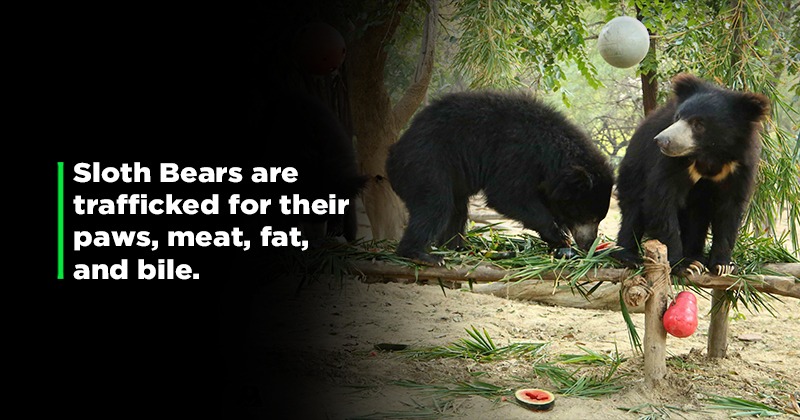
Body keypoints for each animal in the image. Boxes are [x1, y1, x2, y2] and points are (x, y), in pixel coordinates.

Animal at [385, 90, 615, 266]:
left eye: (599, 218)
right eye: (590, 217)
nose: (589, 243)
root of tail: (392, 157)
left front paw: (559, 240)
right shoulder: (516, 153)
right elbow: (507, 195)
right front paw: (559, 235)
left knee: (456, 209)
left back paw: (459, 247)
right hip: (426, 163)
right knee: (435, 204)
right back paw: (423, 255)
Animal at [612, 73, 770, 276]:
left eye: (698, 124)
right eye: (678, 117)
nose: (661, 140)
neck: (710, 155)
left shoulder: (738, 166)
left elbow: (729, 209)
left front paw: (723, 265)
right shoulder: (672, 162)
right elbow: (661, 199)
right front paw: (681, 264)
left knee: (697, 218)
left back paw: (696, 256)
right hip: (634, 170)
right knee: (633, 209)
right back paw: (628, 256)